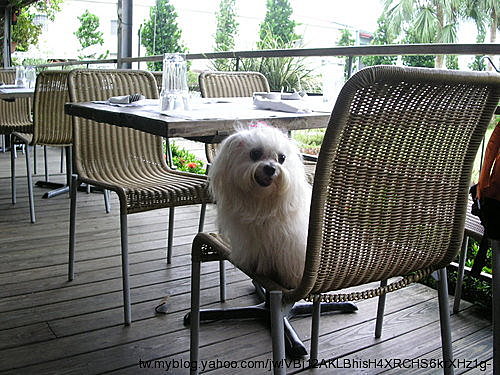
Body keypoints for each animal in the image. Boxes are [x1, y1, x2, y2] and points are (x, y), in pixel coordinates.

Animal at [208, 125, 310, 290]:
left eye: (282, 158)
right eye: (255, 153)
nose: (271, 168)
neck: (262, 202)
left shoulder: (293, 243)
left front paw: (292, 280)